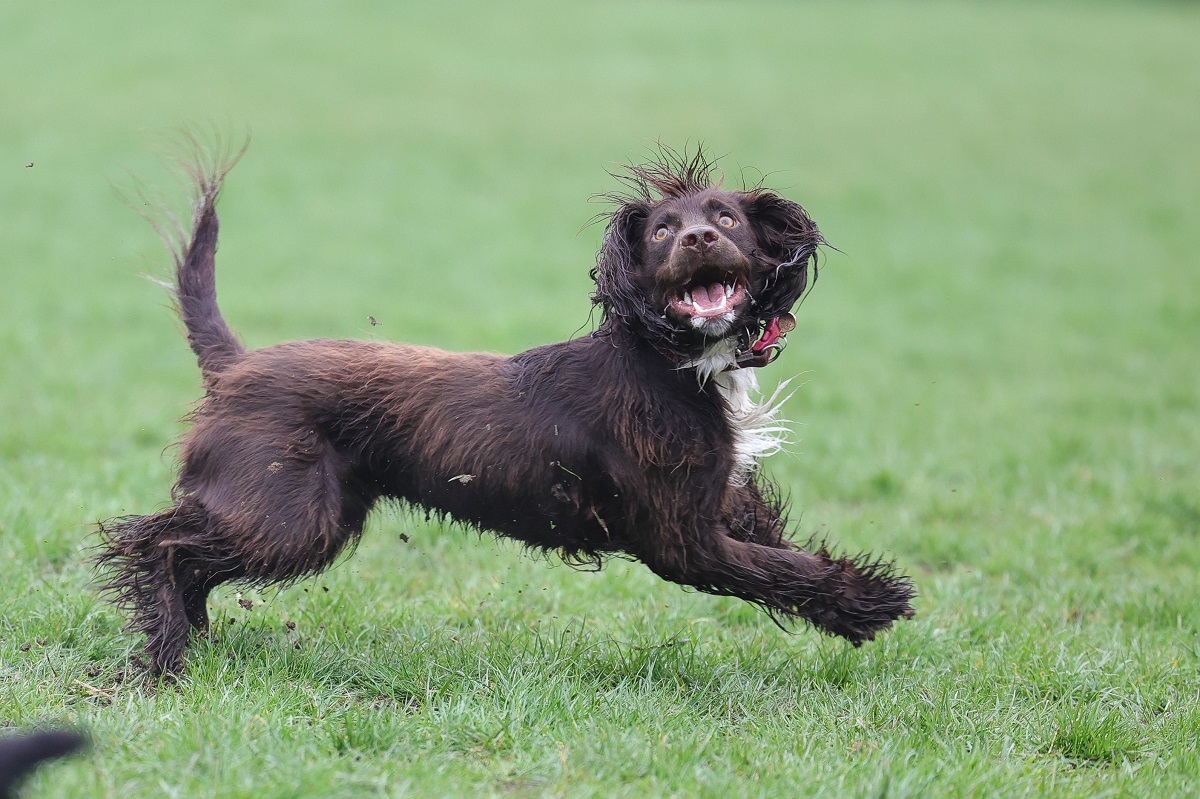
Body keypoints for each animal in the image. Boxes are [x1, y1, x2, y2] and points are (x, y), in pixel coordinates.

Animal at [98, 147, 912, 671]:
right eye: (660, 231)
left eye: (727, 218)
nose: (698, 237)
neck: (672, 361)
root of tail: (234, 365)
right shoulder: (679, 536)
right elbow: (778, 570)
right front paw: (873, 601)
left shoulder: (721, 500)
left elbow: (782, 550)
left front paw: (855, 597)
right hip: (292, 514)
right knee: (157, 541)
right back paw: (167, 654)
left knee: (185, 550)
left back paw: (192, 637)